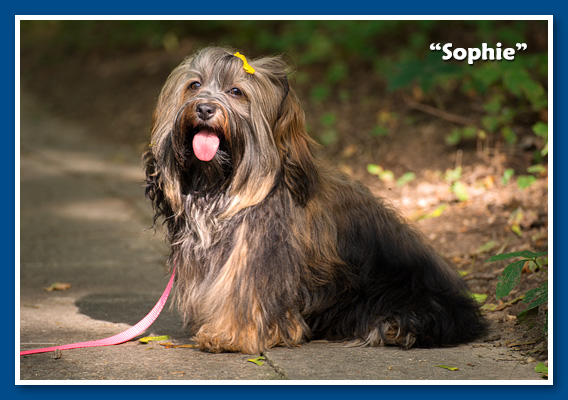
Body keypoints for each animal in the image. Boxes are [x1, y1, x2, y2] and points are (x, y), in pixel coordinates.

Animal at [144, 46, 486, 354]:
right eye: (194, 85)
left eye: (236, 91)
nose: (204, 109)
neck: (219, 185)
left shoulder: (258, 256)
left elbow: (243, 296)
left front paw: (229, 335)